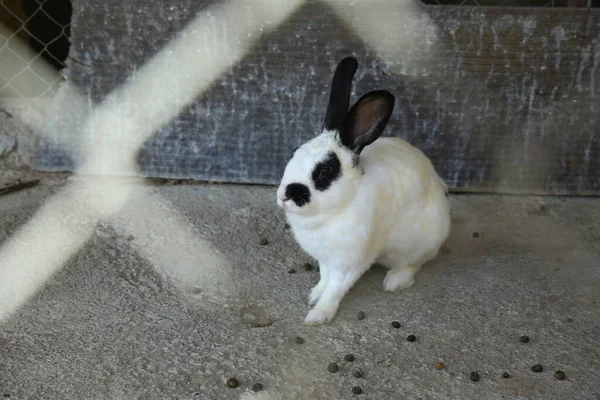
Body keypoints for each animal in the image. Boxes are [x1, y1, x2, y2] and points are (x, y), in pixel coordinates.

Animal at [276, 57, 450, 324]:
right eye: (294, 153)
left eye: (325, 170)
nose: (284, 196)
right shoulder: (326, 258)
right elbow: (325, 278)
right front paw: (314, 294)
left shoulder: (350, 262)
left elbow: (336, 287)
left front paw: (319, 315)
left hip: (418, 244)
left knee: (414, 263)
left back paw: (394, 281)